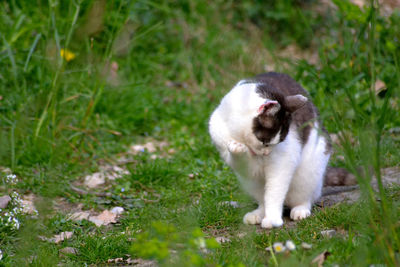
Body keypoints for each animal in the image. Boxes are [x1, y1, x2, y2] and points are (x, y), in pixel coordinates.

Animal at [209, 72, 354, 229]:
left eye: (278, 142)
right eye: (264, 142)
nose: (266, 153)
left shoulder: (283, 161)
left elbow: (274, 192)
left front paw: (272, 218)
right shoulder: (223, 139)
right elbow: (239, 158)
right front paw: (237, 148)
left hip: (309, 172)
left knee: (306, 196)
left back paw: (300, 210)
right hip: (250, 182)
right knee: (262, 199)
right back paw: (258, 214)